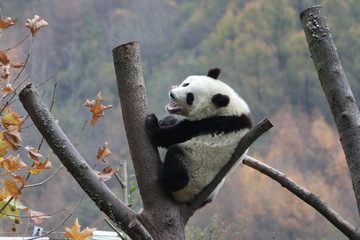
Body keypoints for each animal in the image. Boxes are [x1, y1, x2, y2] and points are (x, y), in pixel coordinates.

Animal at [146, 67, 253, 204]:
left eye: (190, 97)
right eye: (186, 84)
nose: (172, 94)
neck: (227, 109)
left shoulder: (209, 124)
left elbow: (171, 136)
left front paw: (152, 121)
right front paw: (166, 120)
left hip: (193, 169)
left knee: (176, 158)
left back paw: (164, 178)